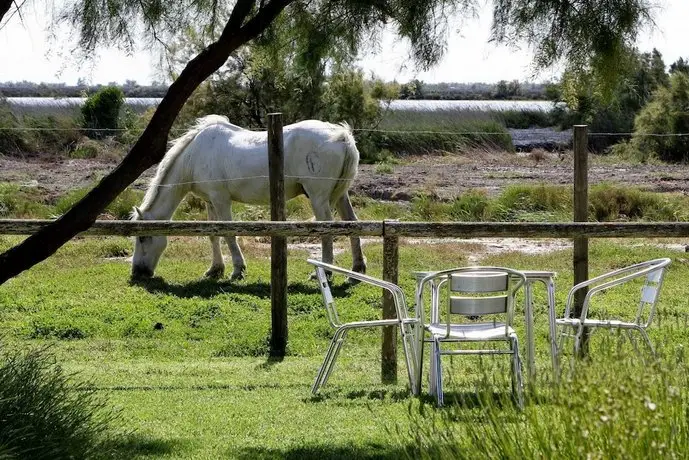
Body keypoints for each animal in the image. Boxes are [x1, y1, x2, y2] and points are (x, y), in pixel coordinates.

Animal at [130, 115, 366, 280]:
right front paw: (215, 269)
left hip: (318, 197)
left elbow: (229, 234)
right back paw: (357, 269)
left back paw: (326, 271)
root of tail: (341, 135)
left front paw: (238, 270)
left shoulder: (221, 200)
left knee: (328, 230)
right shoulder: (210, 201)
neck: (194, 156)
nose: (137, 272)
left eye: (143, 237)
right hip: (340, 195)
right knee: (351, 223)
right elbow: (213, 235)